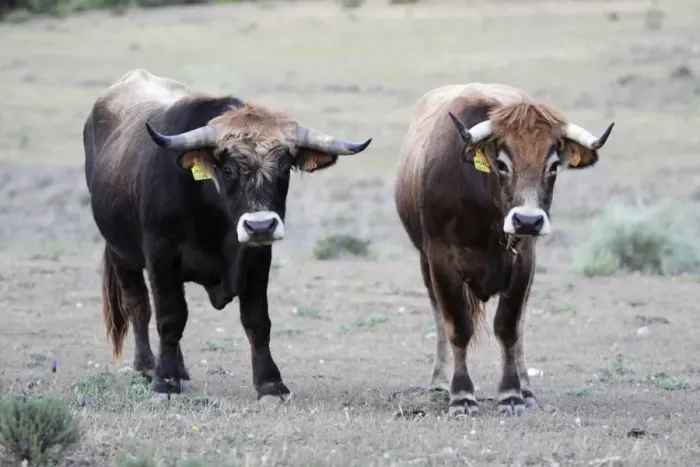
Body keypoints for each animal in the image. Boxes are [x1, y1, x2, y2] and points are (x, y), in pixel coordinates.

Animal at [83, 69, 372, 400]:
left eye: (285, 168)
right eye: (228, 169)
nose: (260, 226)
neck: (214, 219)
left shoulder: (257, 258)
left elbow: (257, 320)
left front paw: (270, 383)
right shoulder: (161, 257)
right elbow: (170, 316)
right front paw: (164, 381)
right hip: (121, 255)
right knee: (139, 306)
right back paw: (146, 366)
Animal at [393, 83, 613, 416]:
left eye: (553, 166)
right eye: (501, 164)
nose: (528, 220)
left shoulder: (524, 263)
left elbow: (509, 327)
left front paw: (511, 393)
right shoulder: (441, 261)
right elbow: (457, 327)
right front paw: (462, 396)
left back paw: (526, 389)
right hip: (425, 263)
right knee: (439, 318)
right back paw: (439, 383)